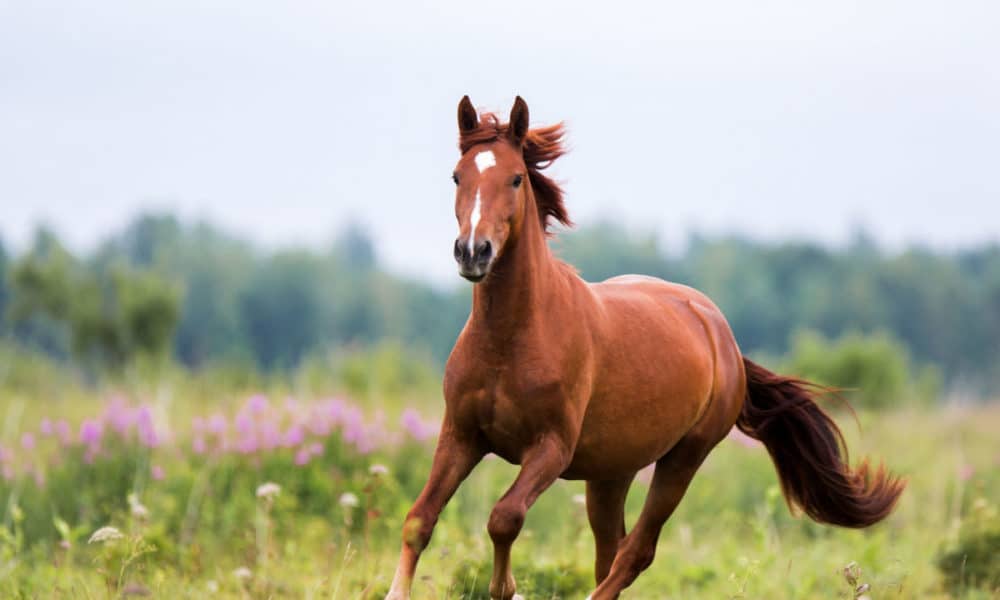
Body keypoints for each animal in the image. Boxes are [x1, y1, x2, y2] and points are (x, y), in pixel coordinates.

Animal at [384, 96, 908, 596]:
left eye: (515, 179)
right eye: (457, 176)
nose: (473, 252)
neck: (510, 341)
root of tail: (720, 332)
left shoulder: (550, 448)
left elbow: (504, 518)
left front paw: (505, 588)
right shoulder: (461, 435)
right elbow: (418, 520)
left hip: (683, 459)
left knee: (635, 553)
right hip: (611, 473)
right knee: (610, 553)